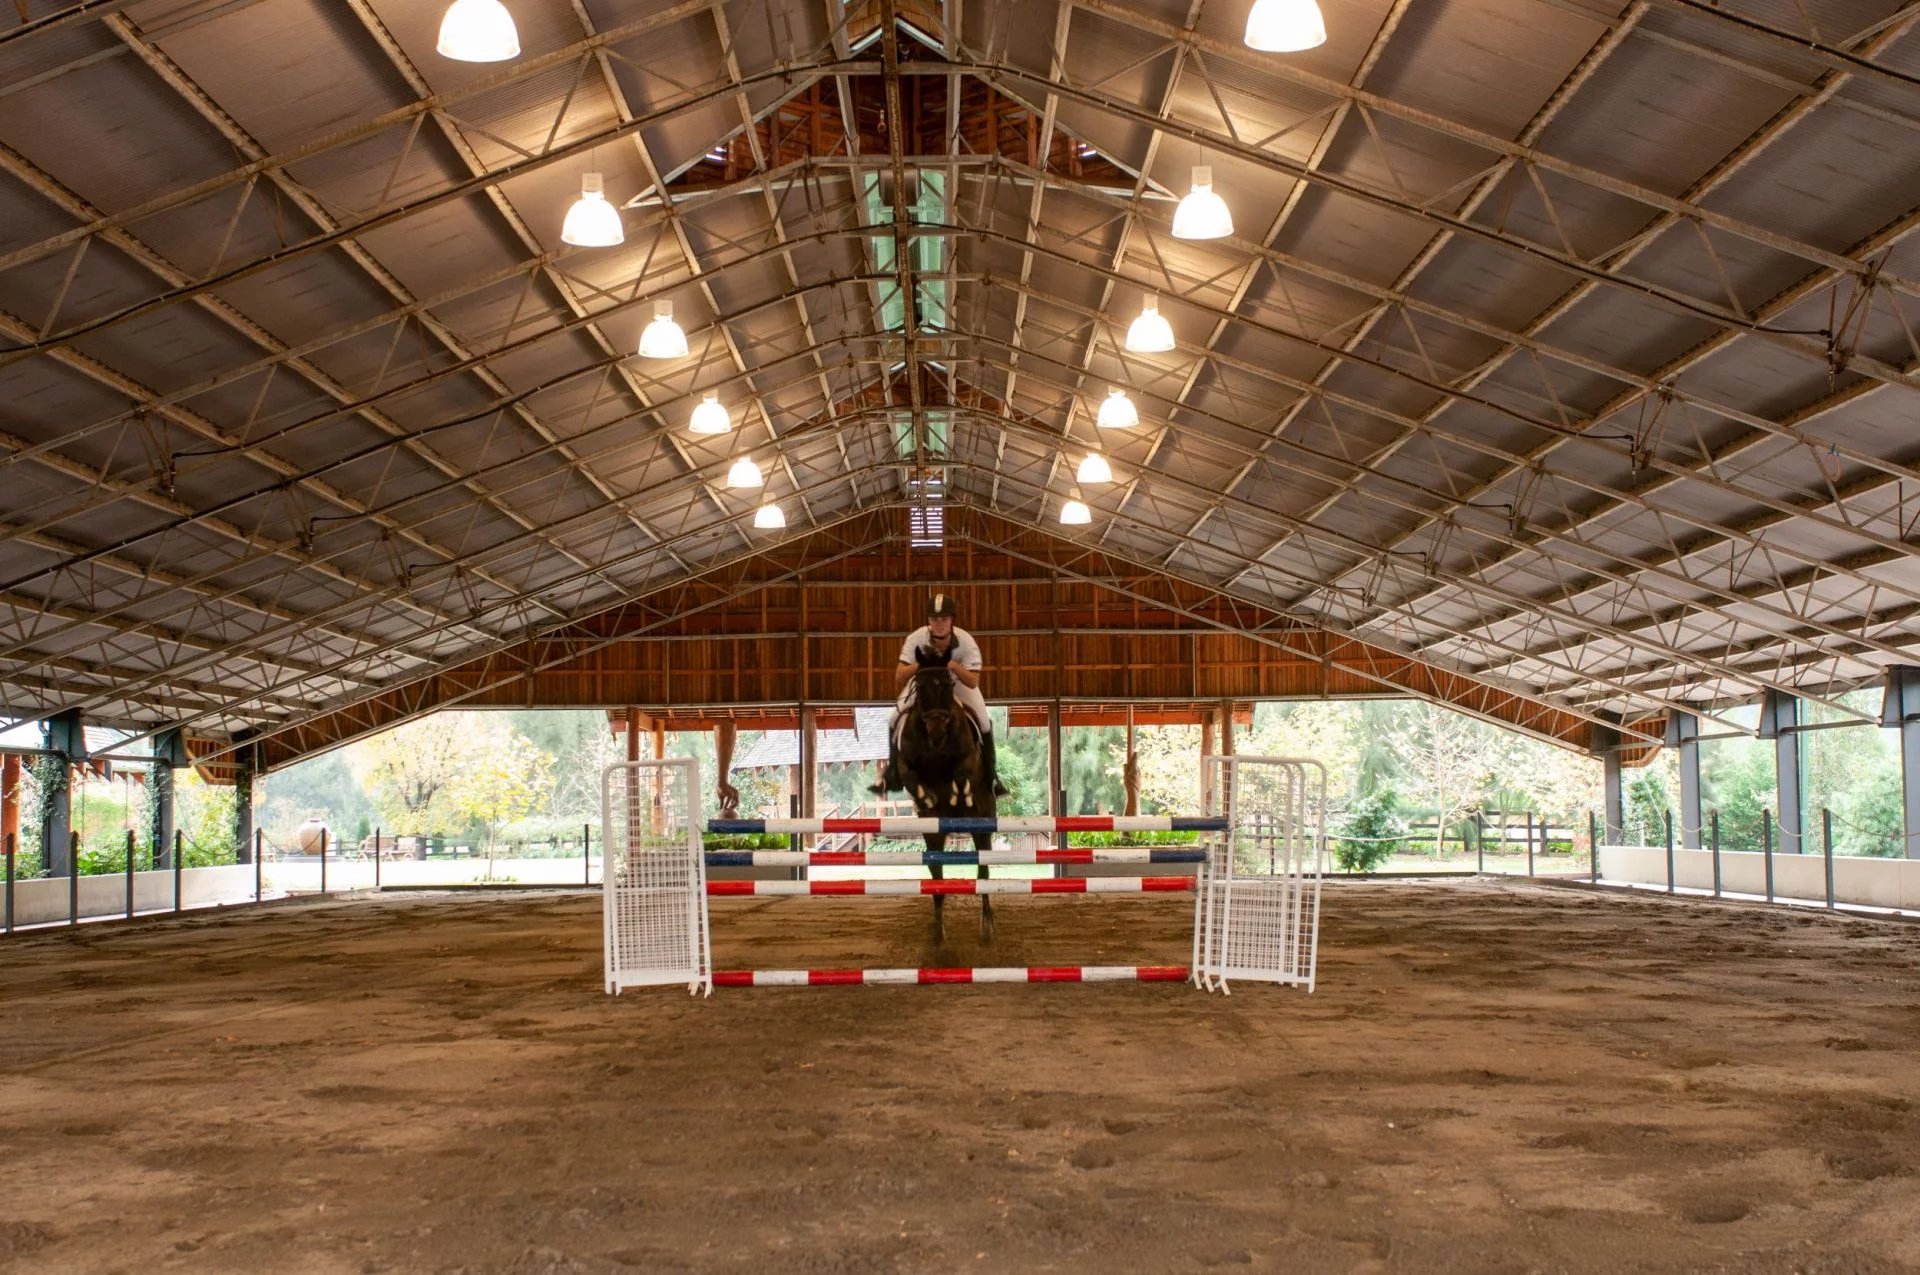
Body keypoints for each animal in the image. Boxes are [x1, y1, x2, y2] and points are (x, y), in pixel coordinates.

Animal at [879, 652, 998, 940]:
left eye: (948, 686)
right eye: (920, 689)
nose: (937, 735)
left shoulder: (967, 758)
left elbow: (961, 771)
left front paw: (959, 796)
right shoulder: (906, 763)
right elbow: (910, 777)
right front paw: (927, 798)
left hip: (983, 825)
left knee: (983, 870)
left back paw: (987, 925)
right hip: (933, 832)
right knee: (936, 873)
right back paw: (938, 930)